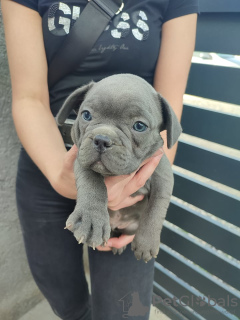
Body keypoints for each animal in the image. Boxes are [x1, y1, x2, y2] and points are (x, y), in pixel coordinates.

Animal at [55, 74, 180, 262]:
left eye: (139, 126)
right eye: (86, 115)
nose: (101, 139)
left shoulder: (163, 178)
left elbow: (156, 209)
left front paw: (146, 243)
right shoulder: (81, 158)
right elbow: (91, 183)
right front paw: (91, 221)